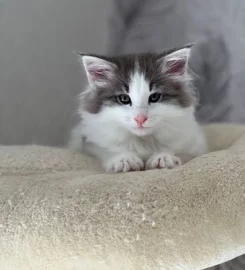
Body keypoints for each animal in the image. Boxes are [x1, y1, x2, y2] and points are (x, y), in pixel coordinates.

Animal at [69, 45, 207, 173]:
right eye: (124, 98)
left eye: (154, 97)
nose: (140, 119)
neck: (143, 141)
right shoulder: (90, 144)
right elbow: (106, 152)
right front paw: (123, 159)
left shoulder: (196, 144)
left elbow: (183, 152)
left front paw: (164, 157)